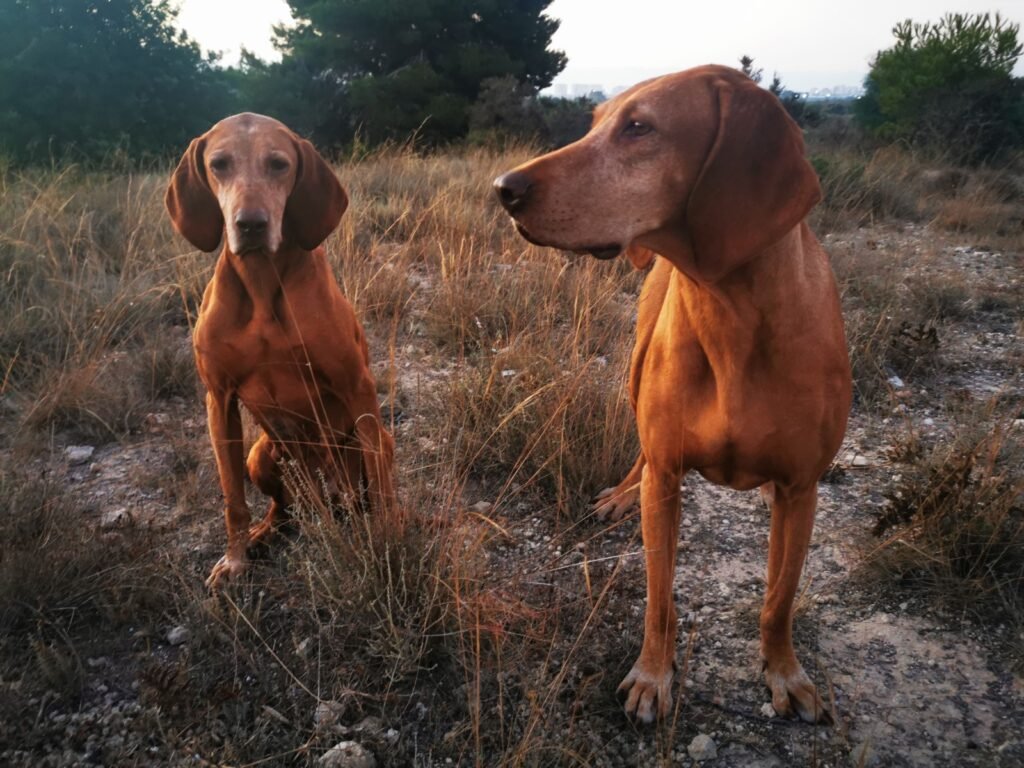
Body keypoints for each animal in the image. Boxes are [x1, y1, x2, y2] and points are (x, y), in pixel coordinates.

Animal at [163, 111, 395, 585]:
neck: (262, 282)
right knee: (284, 508)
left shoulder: (356, 385)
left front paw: (387, 540)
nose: (250, 224)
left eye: (279, 164)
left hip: (367, 444)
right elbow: (233, 499)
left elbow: (379, 479)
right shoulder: (219, 399)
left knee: (366, 483)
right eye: (219, 164)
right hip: (261, 454)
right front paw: (234, 560)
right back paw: (261, 533)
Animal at [493, 67, 847, 729]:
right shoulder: (668, 477)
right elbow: (660, 597)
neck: (731, 313)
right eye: (596, 121)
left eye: (639, 127)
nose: (503, 188)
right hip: (636, 377)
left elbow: (779, 600)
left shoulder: (801, 489)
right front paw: (653, 676)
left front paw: (785, 673)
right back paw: (620, 495)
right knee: (640, 451)